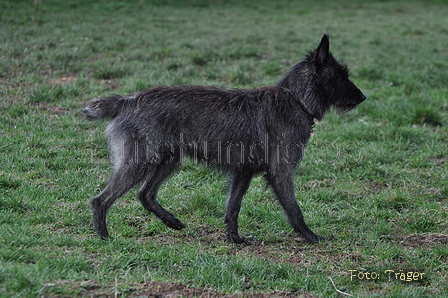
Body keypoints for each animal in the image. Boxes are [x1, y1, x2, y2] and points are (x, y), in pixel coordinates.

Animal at [82, 35, 366, 244]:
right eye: (341, 76)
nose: (363, 97)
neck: (295, 98)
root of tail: (128, 100)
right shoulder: (281, 174)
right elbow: (294, 210)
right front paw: (310, 236)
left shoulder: (243, 173)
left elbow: (233, 208)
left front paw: (234, 239)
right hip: (139, 163)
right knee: (101, 200)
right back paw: (104, 237)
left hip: (168, 162)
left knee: (145, 195)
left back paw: (172, 222)